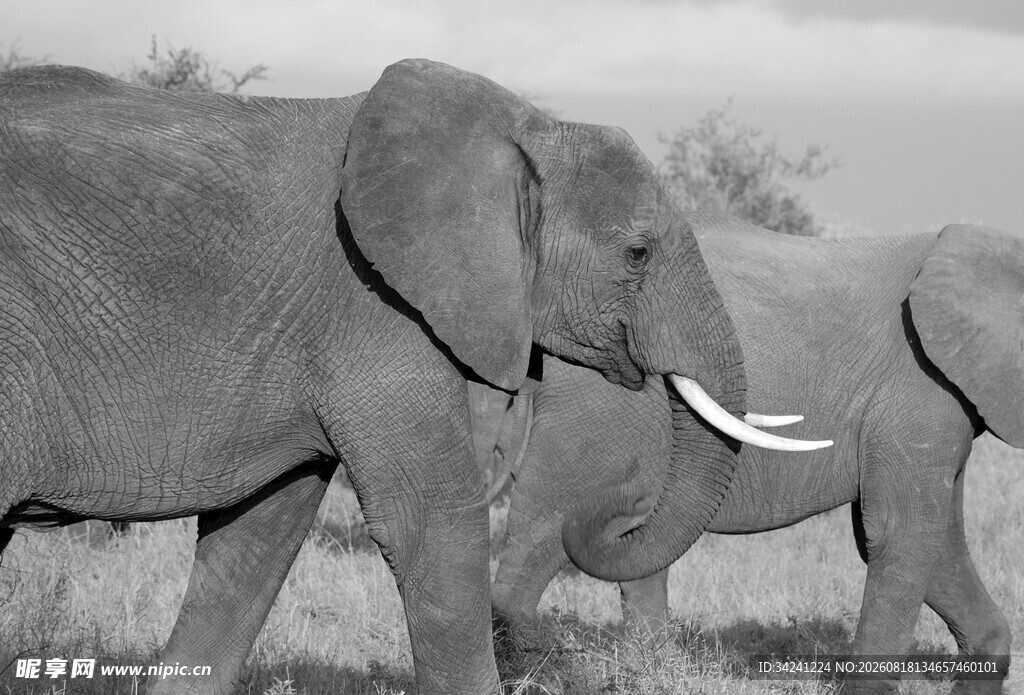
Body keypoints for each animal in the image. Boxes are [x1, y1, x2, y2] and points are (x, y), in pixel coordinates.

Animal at [0, 60, 825, 694]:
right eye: (638, 253)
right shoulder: (372, 307)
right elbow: (433, 524)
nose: (618, 510)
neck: (524, 130)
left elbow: (258, 533)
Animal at [492, 214, 1023, 694]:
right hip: (597, 406)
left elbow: (934, 541)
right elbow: (900, 533)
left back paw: (654, 674)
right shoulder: (917, 390)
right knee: (544, 529)